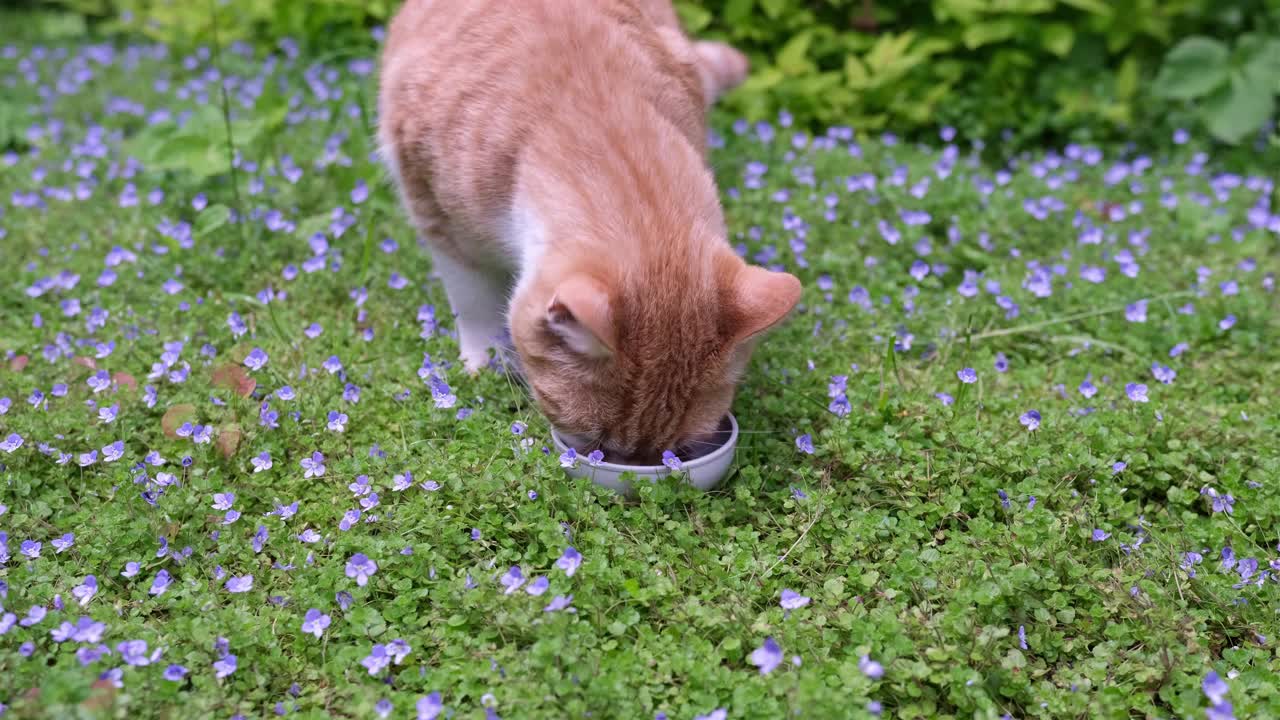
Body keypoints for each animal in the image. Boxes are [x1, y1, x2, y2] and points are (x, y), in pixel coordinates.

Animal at [376, 0, 798, 458]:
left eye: (675, 451)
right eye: (596, 440)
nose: (633, 467)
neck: (593, 106)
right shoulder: (435, 214)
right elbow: (471, 301)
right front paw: (483, 362)